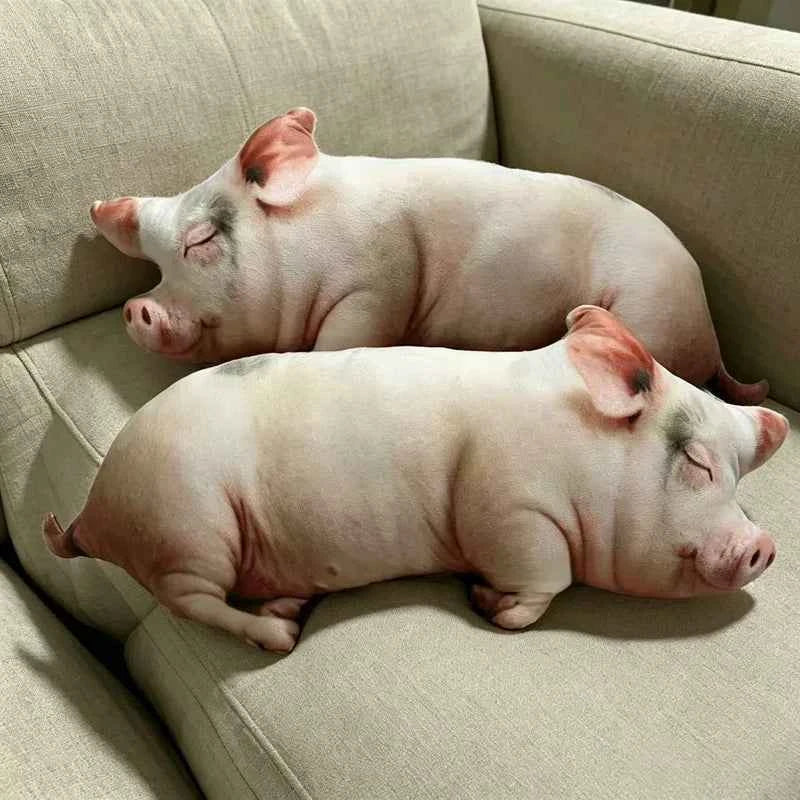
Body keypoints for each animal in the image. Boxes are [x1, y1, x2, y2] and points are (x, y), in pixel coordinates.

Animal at [43, 306, 787, 652]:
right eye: (699, 464)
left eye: (740, 481)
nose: (765, 545)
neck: (583, 454)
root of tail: (93, 513)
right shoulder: (510, 506)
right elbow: (546, 578)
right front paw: (490, 606)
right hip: (189, 526)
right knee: (190, 601)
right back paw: (279, 635)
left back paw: (289, 607)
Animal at [90, 107, 767, 405]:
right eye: (152, 260)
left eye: (200, 242)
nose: (136, 308)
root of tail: (711, 332)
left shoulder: (376, 284)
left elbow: (343, 342)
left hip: (650, 311)